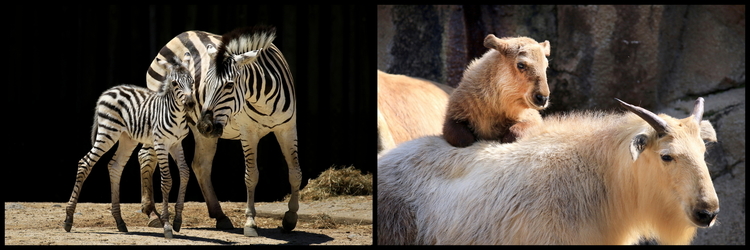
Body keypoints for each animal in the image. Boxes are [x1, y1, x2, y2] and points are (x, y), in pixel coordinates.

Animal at [64, 52, 197, 238]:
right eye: (174, 83)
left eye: (192, 82)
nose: (190, 104)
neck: (176, 115)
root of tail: (108, 91)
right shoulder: (160, 144)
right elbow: (166, 180)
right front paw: (166, 225)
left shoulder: (176, 144)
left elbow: (185, 173)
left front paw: (178, 219)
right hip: (108, 132)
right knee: (85, 163)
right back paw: (68, 219)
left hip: (127, 138)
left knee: (115, 167)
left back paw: (119, 221)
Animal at [140, 24, 298, 236]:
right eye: (206, 84)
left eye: (229, 85)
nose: (204, 125)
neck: (263, 100)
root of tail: (179, 35)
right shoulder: (248, 133)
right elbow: (251, 176)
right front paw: (250, 222)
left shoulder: (288, 128)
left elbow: (295, 172)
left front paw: (290, 218)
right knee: (146, 156)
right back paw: (151, 214)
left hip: (203, 133)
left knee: (201, 165)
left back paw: (219, 215)